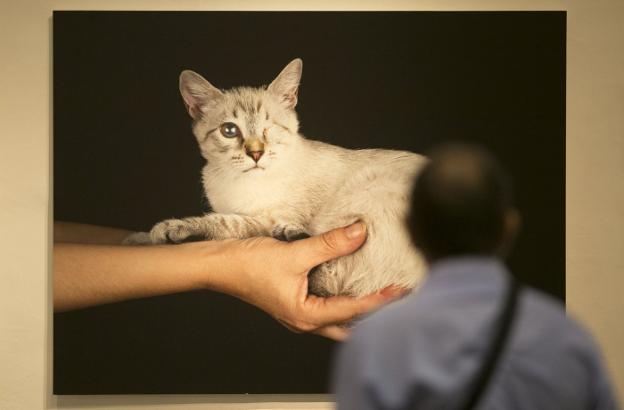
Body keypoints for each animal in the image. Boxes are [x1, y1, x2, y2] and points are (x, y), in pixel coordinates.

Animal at [127, 58, 428, 298]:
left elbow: (226, 223)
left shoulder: (269, 217)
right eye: (229, 130)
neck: (238, 183)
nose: (256, 153)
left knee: (328, 282)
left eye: (268, 128)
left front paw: (170, 229)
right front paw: (137, 239)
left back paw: (289, 234)